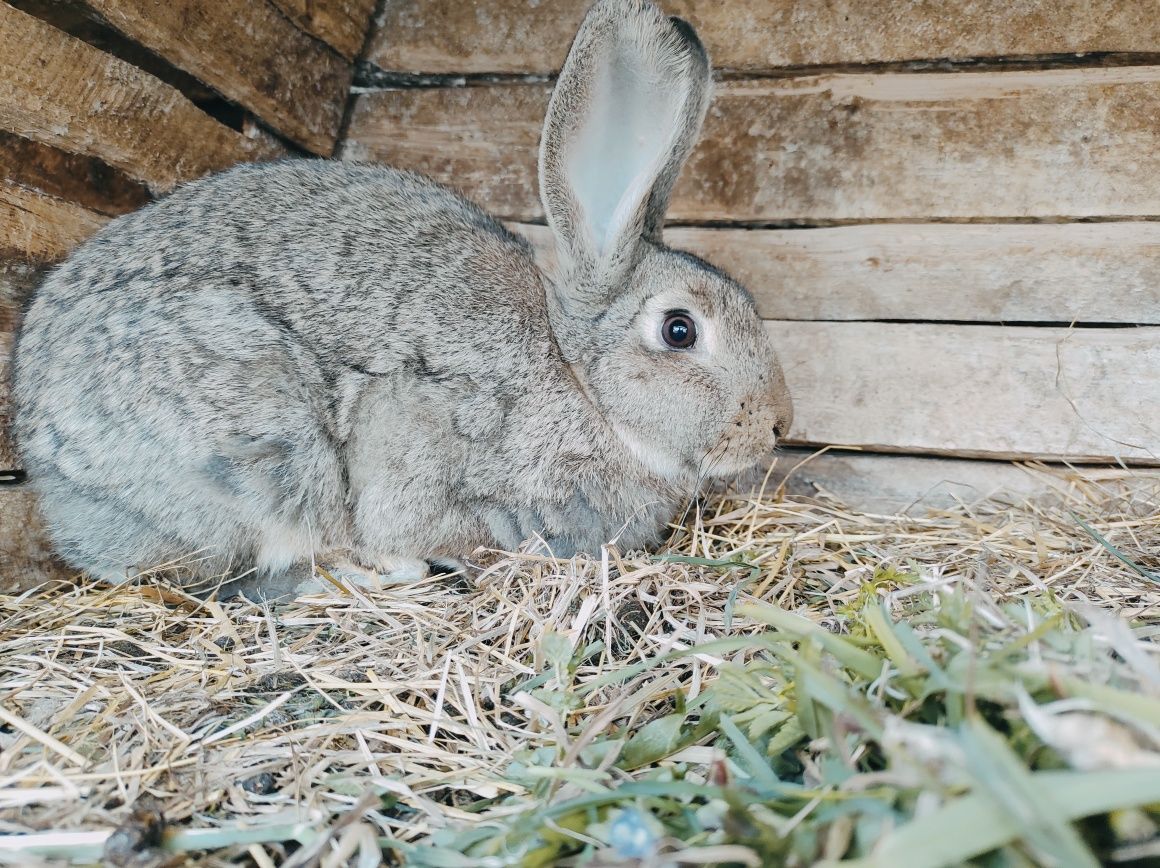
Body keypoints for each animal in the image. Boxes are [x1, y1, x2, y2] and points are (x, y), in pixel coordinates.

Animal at [13, 0, 793, 598]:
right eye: (680, 330)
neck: (581, 382)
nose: (781, 424)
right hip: (249, 445)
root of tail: (48, 473)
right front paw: (422, 559)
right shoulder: (416, 435)